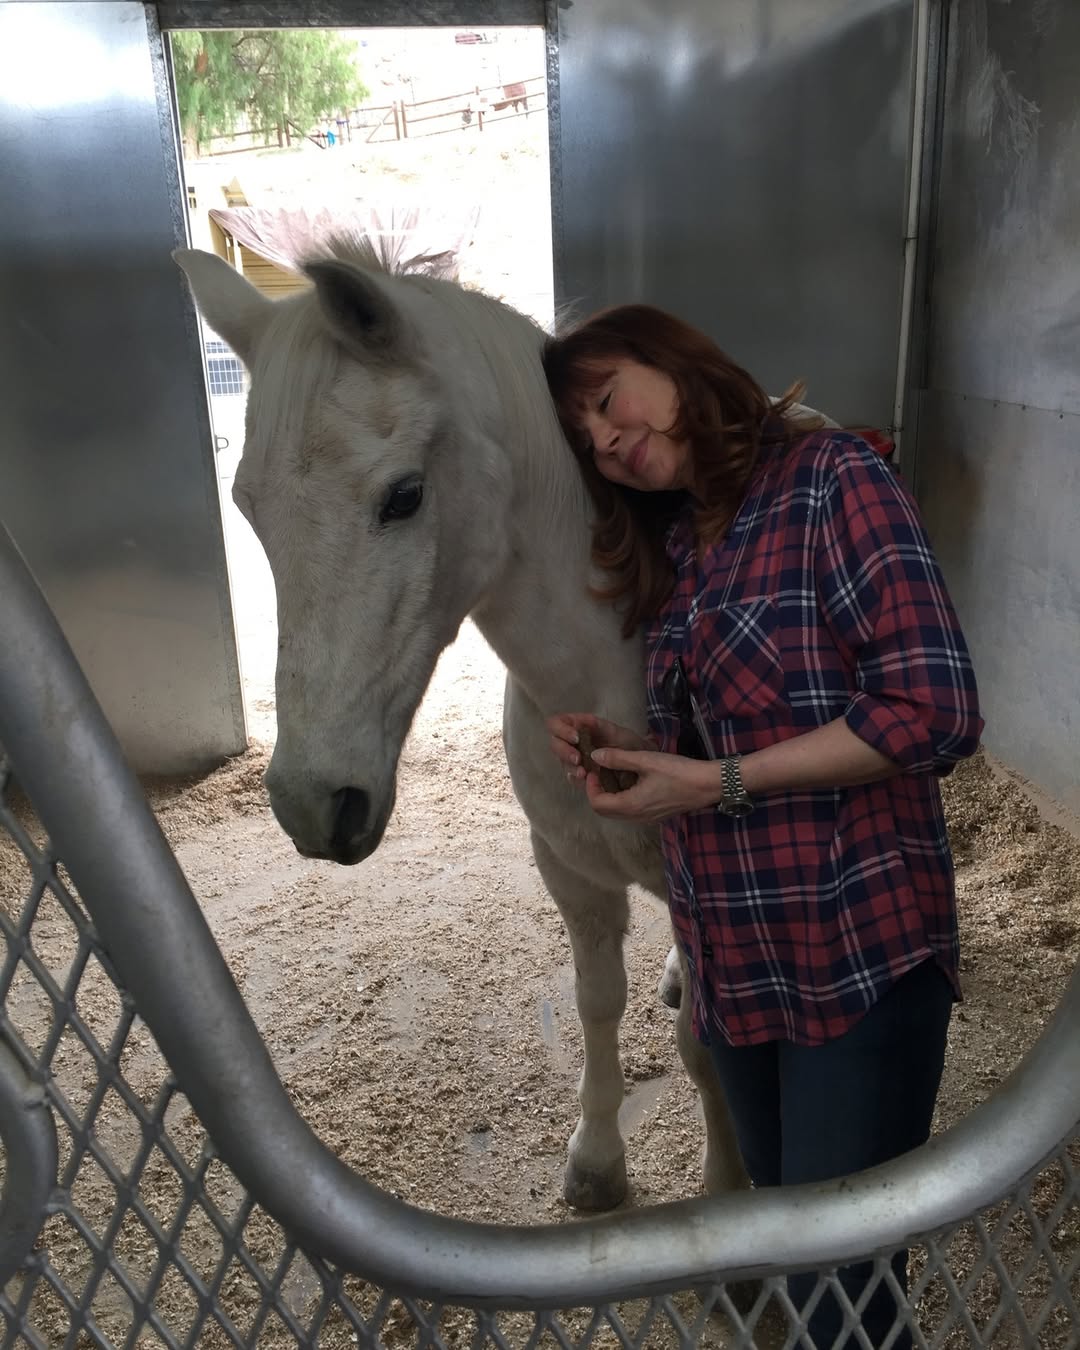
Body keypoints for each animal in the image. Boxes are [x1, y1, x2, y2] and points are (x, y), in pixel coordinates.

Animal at [174, 239, 748, 1212]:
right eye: (248, 507)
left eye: (404, 495)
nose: (310, 803)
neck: (605, 677)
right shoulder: (569, 873)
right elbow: (598, 1003)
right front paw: (597, 1162)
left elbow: (707, 1046)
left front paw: (729, 1193)